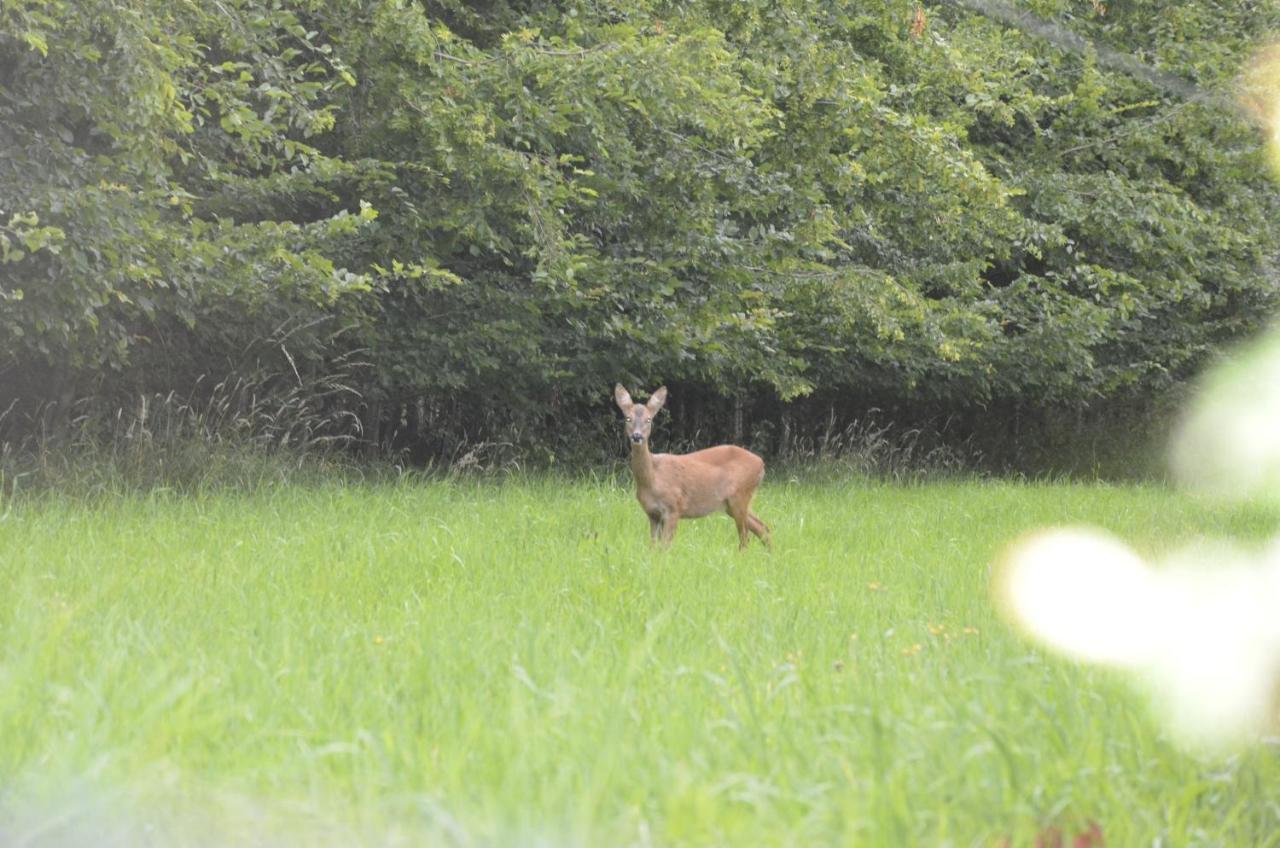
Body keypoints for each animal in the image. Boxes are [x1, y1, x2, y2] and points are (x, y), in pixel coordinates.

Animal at [611, 384, 768, 550]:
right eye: (628, 418)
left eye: (649, 419)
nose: (637, 436)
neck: (652, 478)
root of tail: (761, 463)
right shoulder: (652, 514)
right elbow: (653, 546)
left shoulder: (674, 507)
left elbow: (665, 546)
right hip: (731, 504)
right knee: (763, 528)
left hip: (740, 495)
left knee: (746, 537)